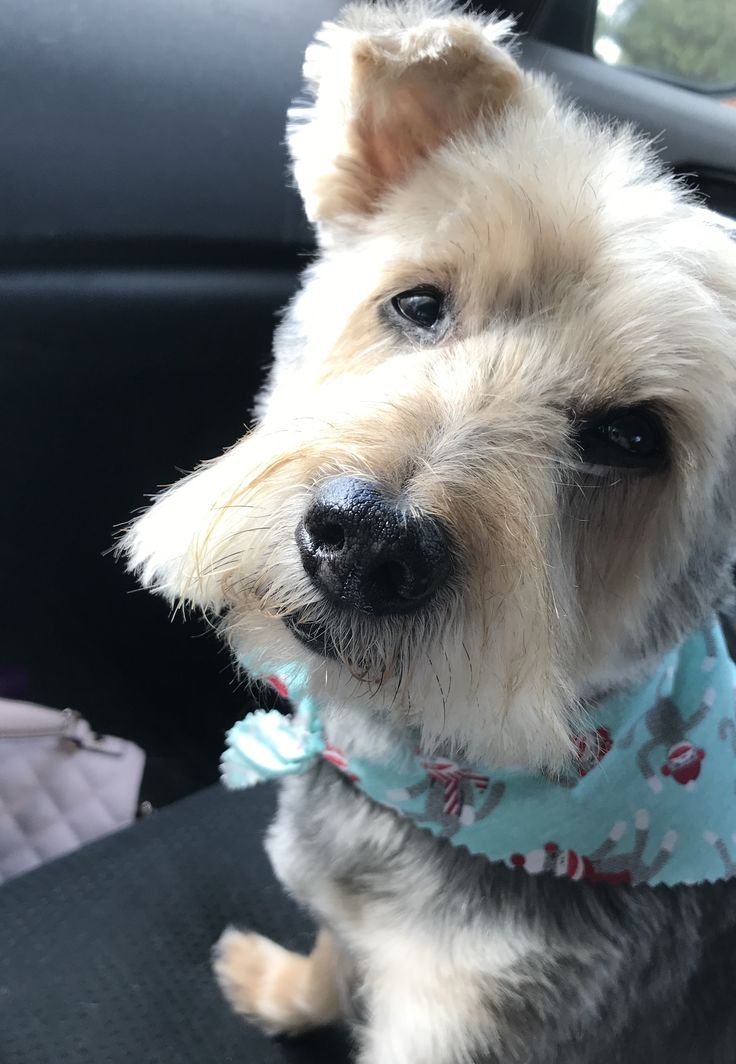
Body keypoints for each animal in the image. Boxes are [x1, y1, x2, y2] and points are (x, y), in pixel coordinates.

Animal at [123, 4, 736, 1059]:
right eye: (417, 303)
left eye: (635, 437)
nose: (368, 543)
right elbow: (335, 946)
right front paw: (286, 986)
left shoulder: (480, 1013)